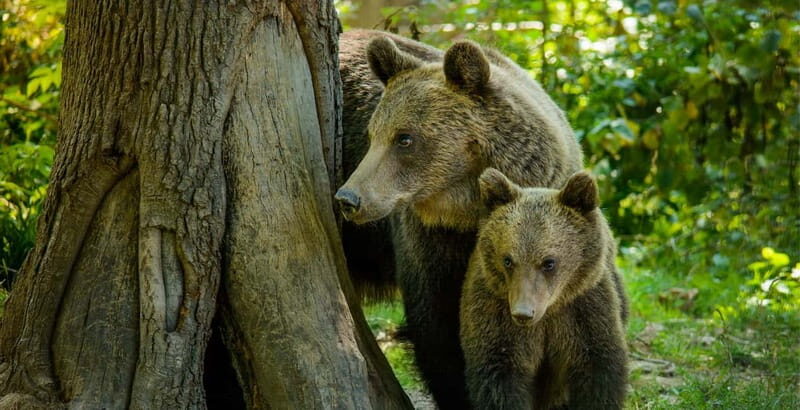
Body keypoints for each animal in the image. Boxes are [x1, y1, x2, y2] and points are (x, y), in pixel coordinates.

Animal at [336, 30, 593, 408]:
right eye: (372, 136)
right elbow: (438, 328)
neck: (466, 210)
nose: (349, 199)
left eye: (404, 138)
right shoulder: (431, 240)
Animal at [459, 168, 628, 409]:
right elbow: (500, 375)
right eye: (508, 260)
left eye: (549, 262)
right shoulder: (495, 311)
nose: (523, 313)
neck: (549, 311)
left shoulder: (584, 308)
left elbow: (597, 369)